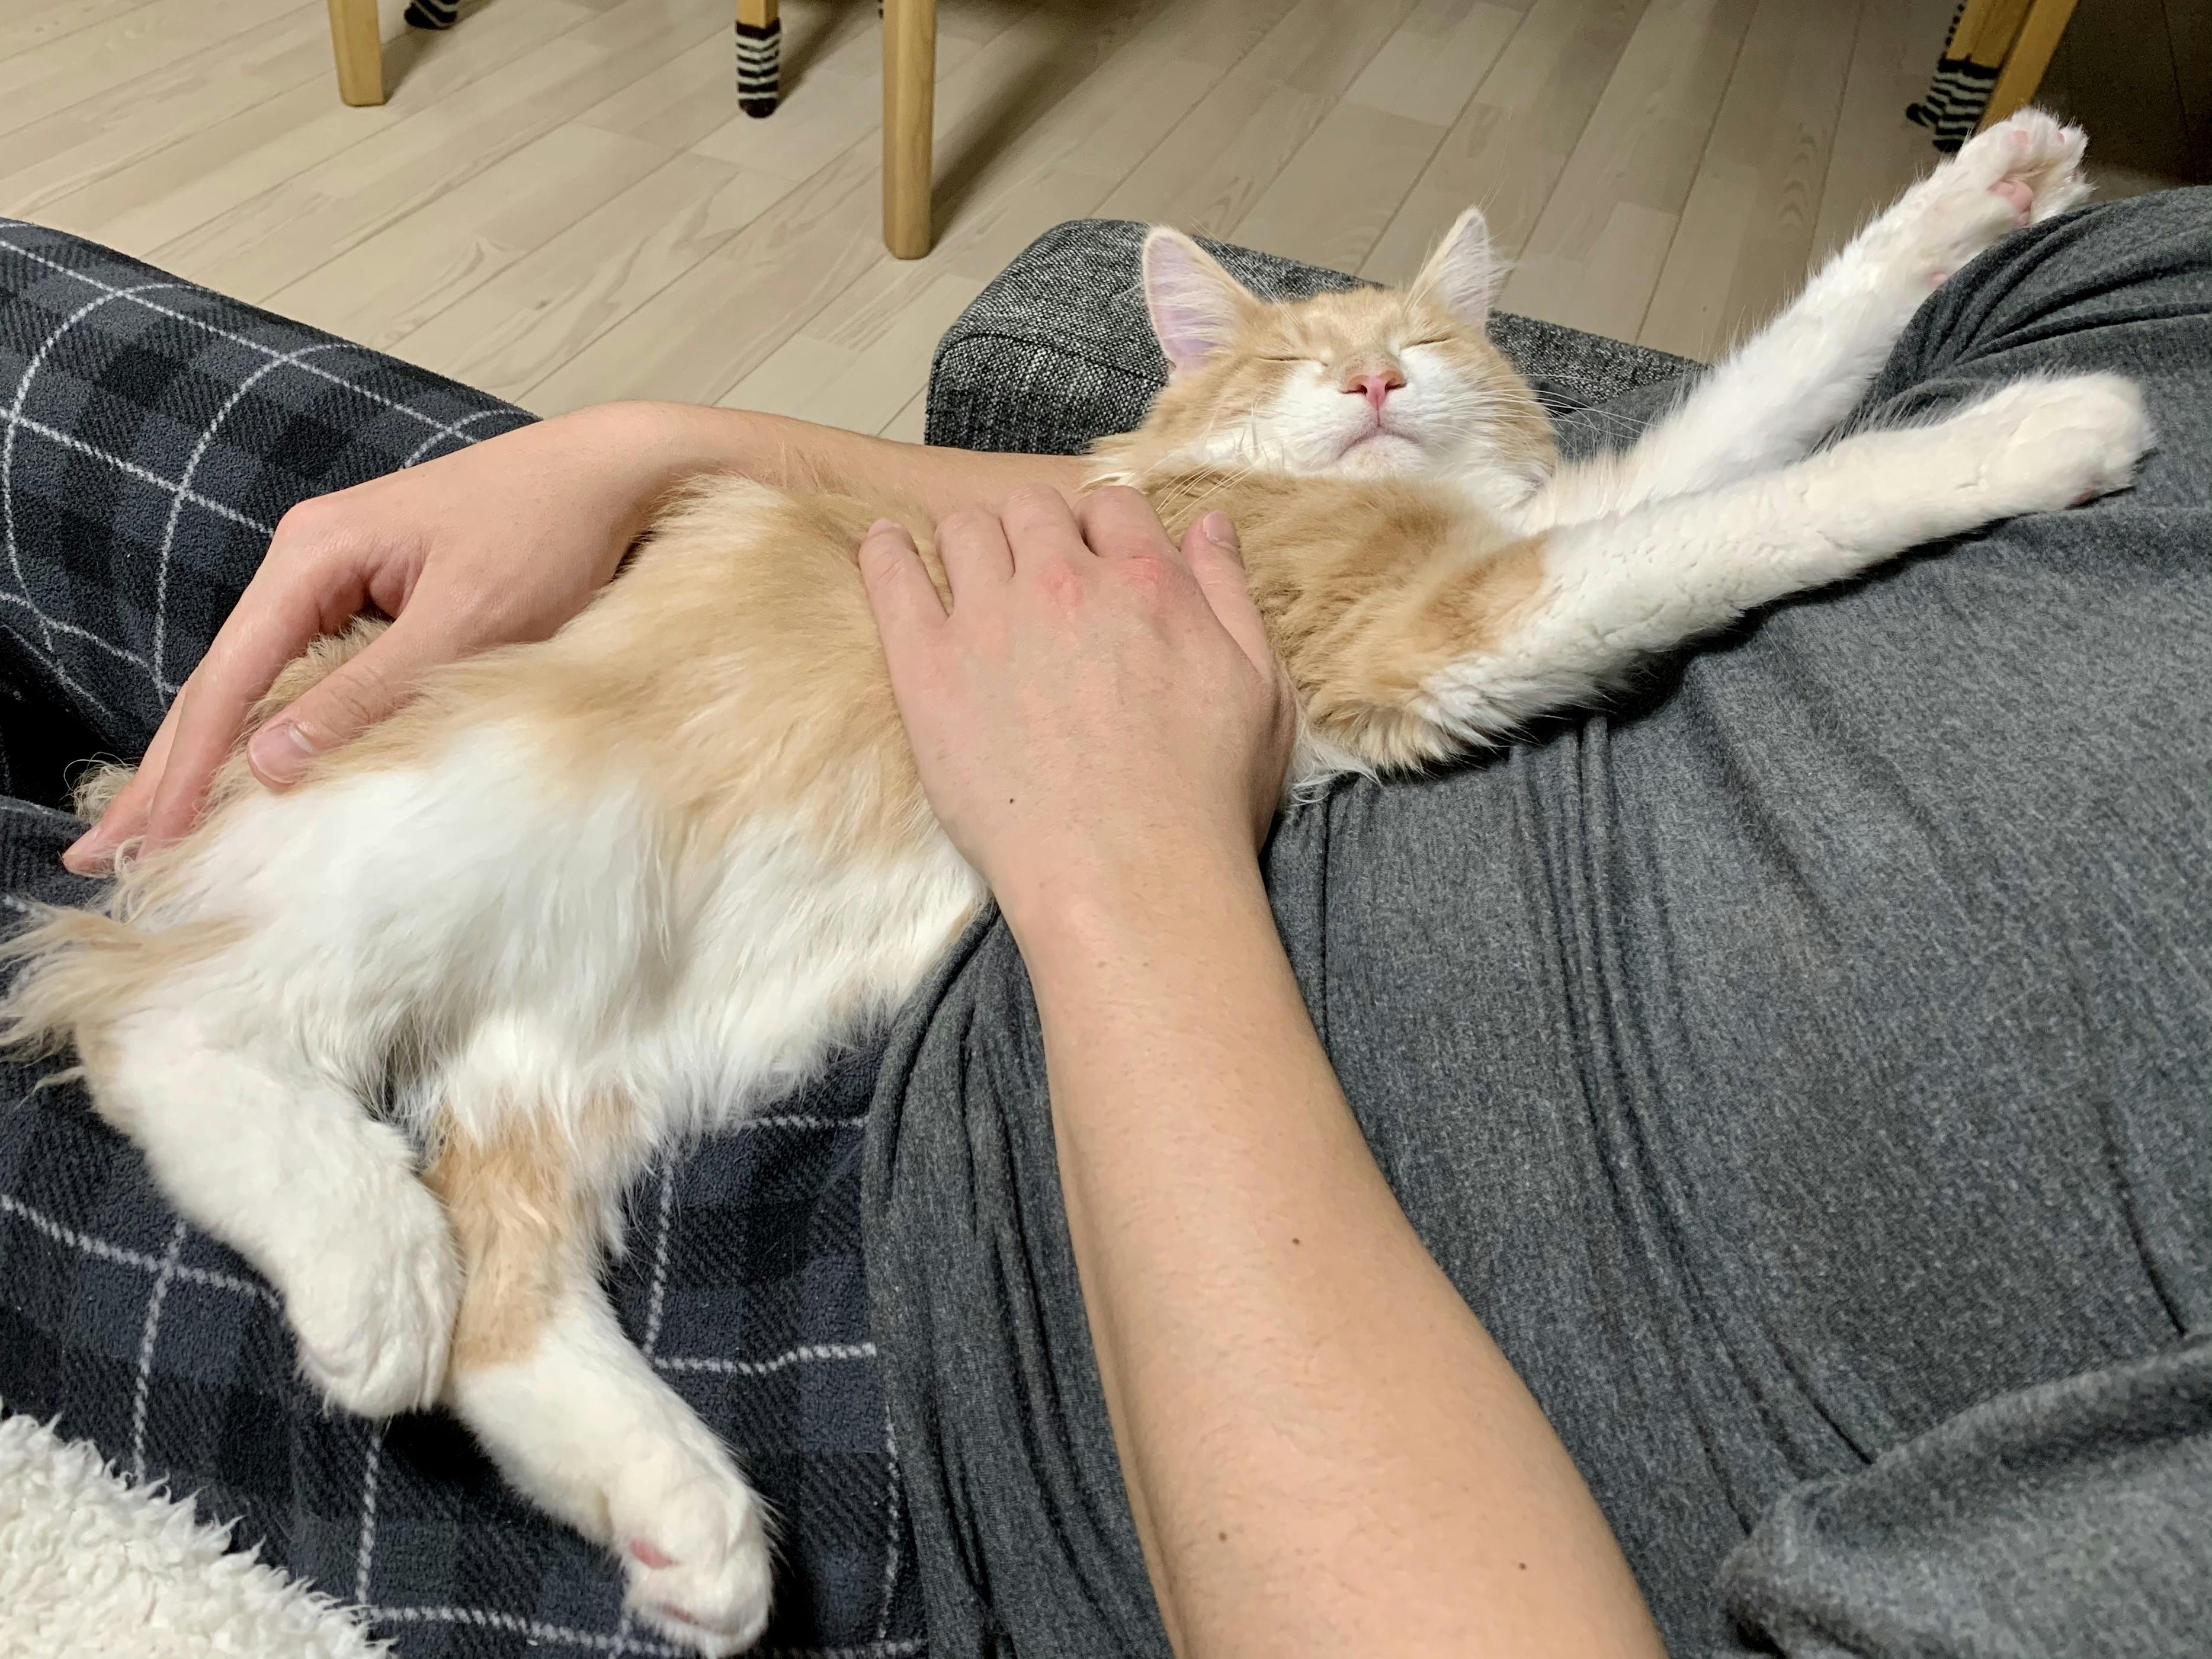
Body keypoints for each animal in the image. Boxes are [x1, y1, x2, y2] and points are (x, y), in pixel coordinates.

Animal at [0, 109, 2147, 1655]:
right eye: (1288, 355)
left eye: (1420, 344)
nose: (1370, 384)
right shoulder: (1447, 627)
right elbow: (1760, 495)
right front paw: (2037, 423)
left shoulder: (1494, 566)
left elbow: (1755, 400)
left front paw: (1991, 198)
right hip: (473, 822)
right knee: (154, 1015)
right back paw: (363, 1270)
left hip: (625, 1035)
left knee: (502, 1269)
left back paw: (684, 1522)